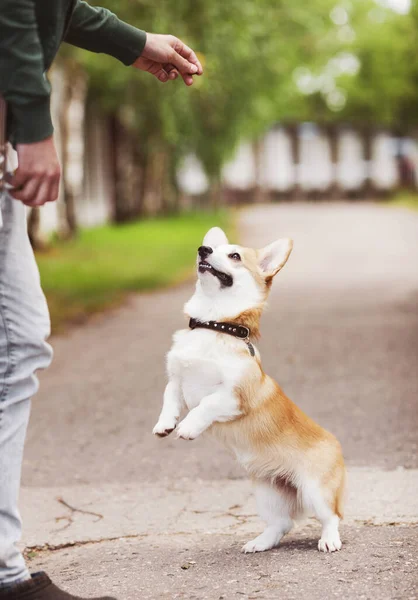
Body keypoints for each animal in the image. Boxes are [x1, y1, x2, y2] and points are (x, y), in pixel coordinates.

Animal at [152, 229, 344, 552]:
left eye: (234, 256)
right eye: (211, 247)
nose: (203, 250)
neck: (214, 324)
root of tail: (337, 445)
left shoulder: (235, 397)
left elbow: (205, 405)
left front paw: (188, 427)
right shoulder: (177, 380)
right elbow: (169, 400)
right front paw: (165, 425)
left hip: (315, 490)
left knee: (331, 517)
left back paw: (329, 540)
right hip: (268, 493)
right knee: (282, 524)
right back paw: (260, 543)